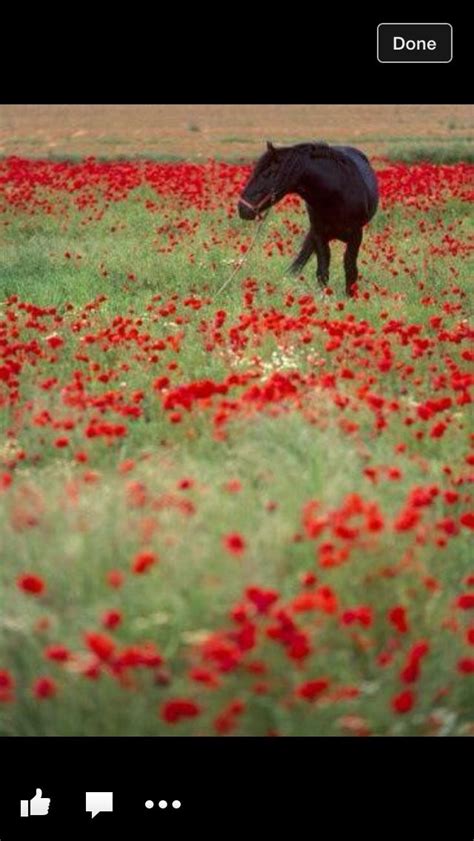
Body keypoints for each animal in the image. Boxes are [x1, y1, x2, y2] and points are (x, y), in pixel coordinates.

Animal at [239, 144, 380, 298]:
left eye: (267, 174)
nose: (241, 208)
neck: (336, 194)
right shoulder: (318, 234)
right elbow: (322, 270)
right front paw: (324, 296)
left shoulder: (356, 235)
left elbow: (350, 268)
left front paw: (350, 296)